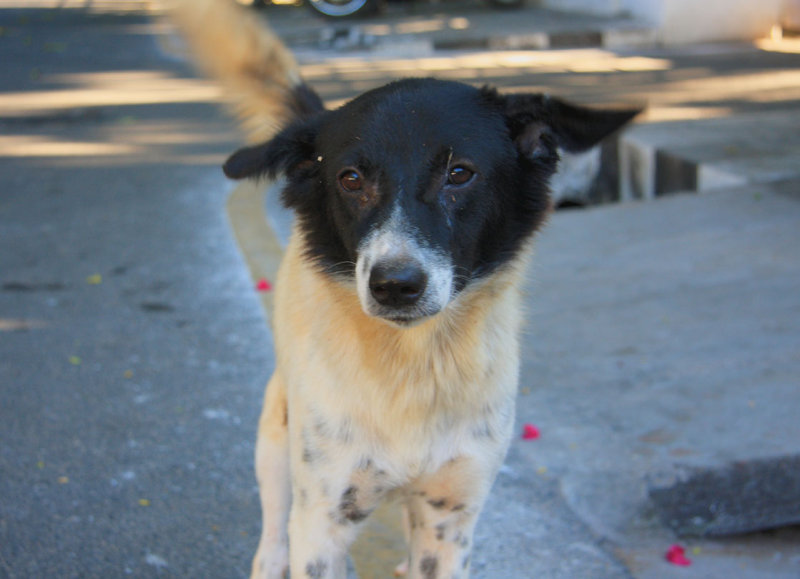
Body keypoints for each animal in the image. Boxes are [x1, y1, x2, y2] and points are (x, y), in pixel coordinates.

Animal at [170, 2, 636, 576]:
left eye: (459, 173)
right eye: (350, 178)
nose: (394, 285)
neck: (414, 365)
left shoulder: (451, 514)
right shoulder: (323, 517)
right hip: (277, 438)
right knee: (274, 526)